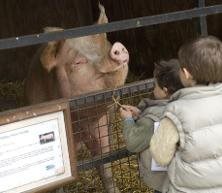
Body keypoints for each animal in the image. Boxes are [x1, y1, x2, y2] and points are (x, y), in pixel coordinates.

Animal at [24, 4, 128, 193]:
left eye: (104, 45)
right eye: (78, 62)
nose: (116, 47)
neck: (78, 122)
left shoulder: (102, 124)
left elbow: (105, 165)